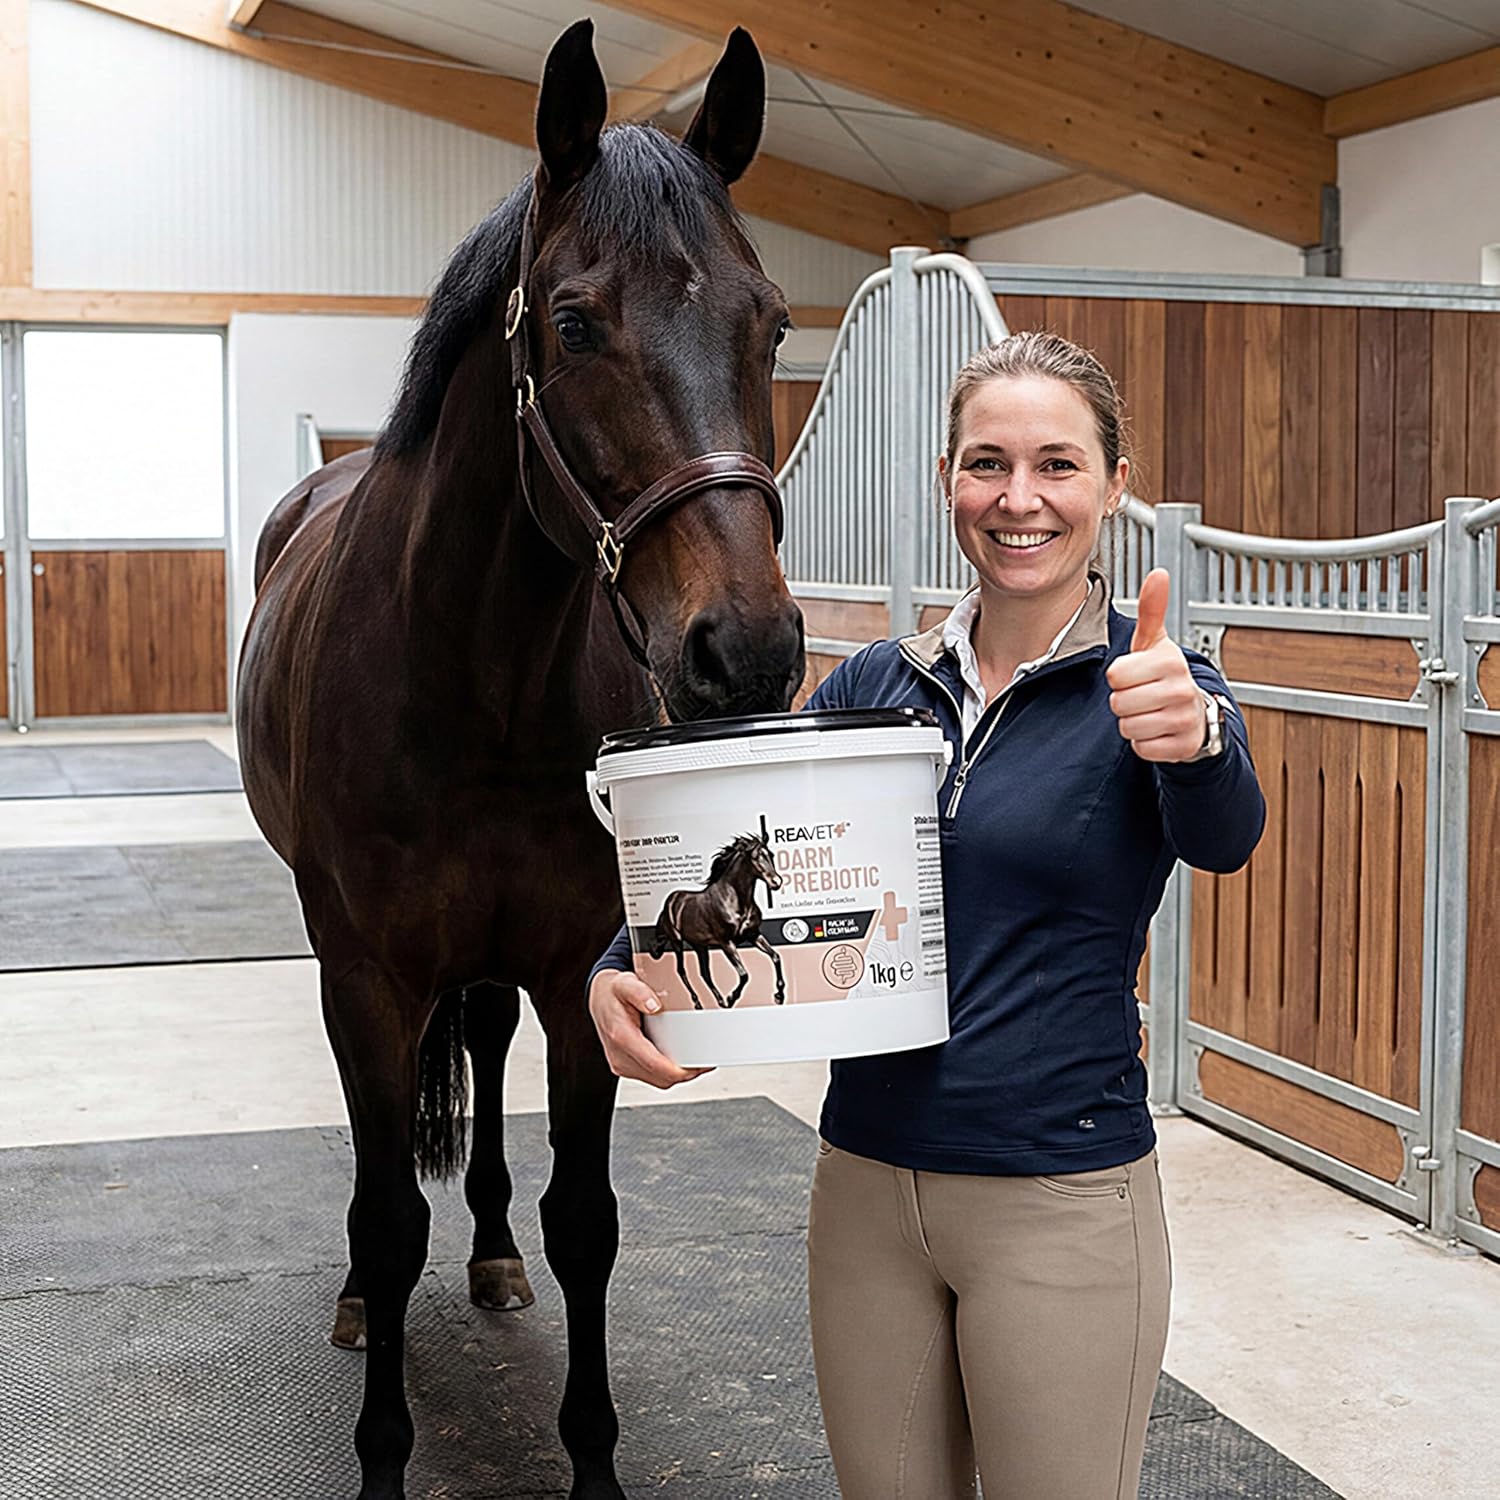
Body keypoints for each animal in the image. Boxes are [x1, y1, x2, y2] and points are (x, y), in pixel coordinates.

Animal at [649, 832, 786, 1008]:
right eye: (755, 857)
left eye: (771, 855)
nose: (776, 882)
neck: (735, 900)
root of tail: (669, 903)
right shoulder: (726, 943)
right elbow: (744, 974)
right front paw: (732, 998)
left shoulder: (753, 935)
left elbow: (776, 957)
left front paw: (779, 996)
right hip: (677, 942)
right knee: (681, 970)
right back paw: (699, 1003)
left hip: (700, 946)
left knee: (705, 973)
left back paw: (720, 1001)